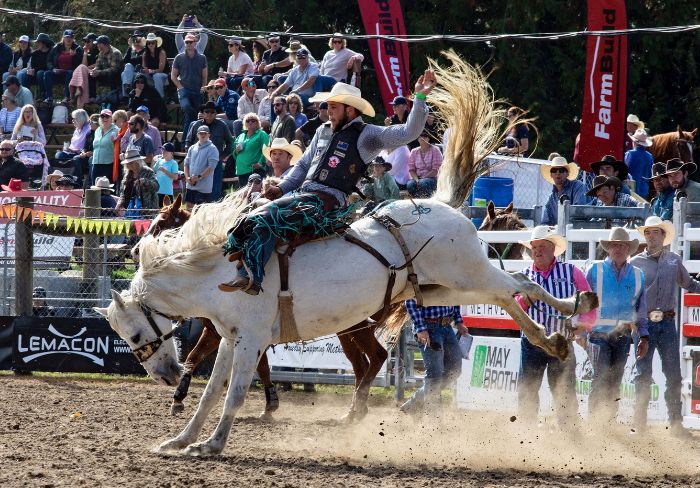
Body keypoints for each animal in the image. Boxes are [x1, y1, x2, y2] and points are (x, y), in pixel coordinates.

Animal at [137, 193, 388, 422]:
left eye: (161, 225)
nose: (134, 251)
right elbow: (256, 365)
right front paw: (269, 403)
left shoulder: (226, 332)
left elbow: (197, 356)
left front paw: (179, 397)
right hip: (348, 329)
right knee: (361, 364)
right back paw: (355, 411)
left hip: (355, 327)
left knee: (375, 357)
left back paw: (356, 409)